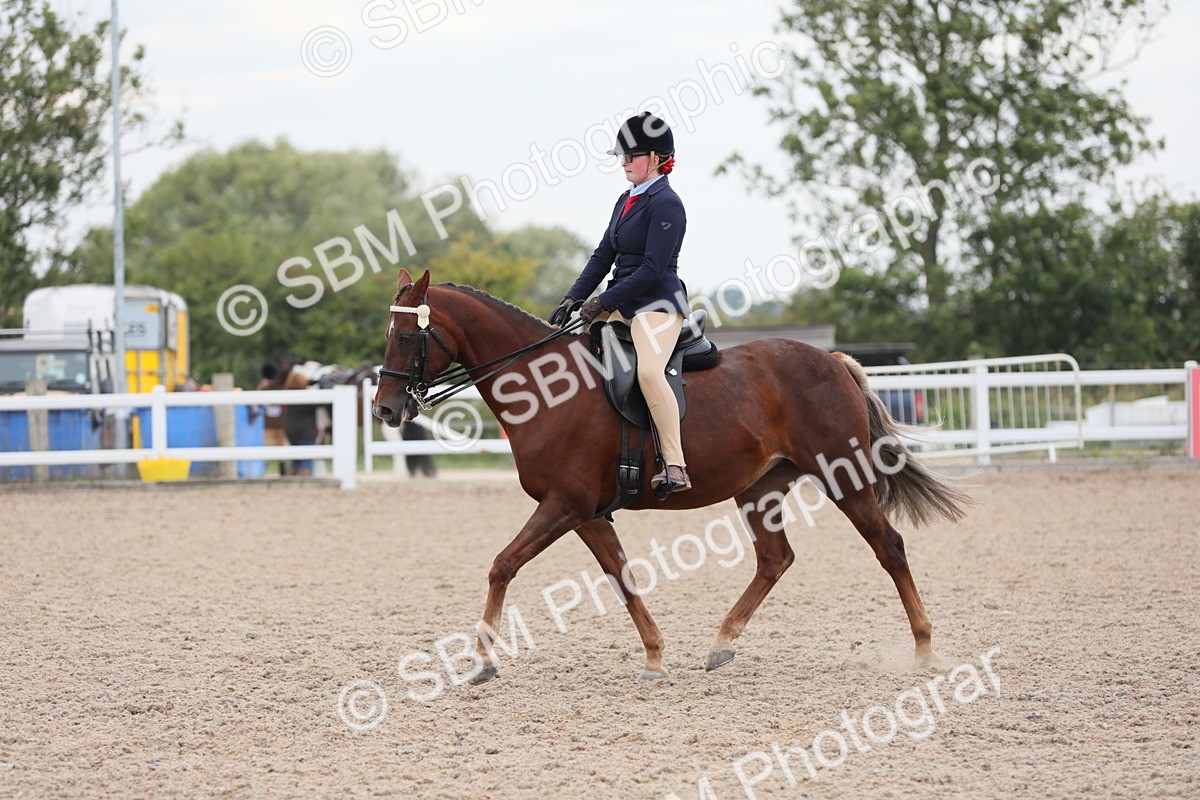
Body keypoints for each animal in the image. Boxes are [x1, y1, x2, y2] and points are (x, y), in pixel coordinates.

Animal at [373, 268, 971, 684]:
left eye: (404, 337)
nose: (384, 410)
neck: (544, 388)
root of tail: (834, 362)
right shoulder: (586, 514)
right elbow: (621, 577)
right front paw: (655, 658)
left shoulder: (564, 505)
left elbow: (502, 565)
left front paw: (482, 660)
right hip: (759, 489)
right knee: (775, 559)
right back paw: (721, 642)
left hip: (842, 475)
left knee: (888, 546)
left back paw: (924, 649)